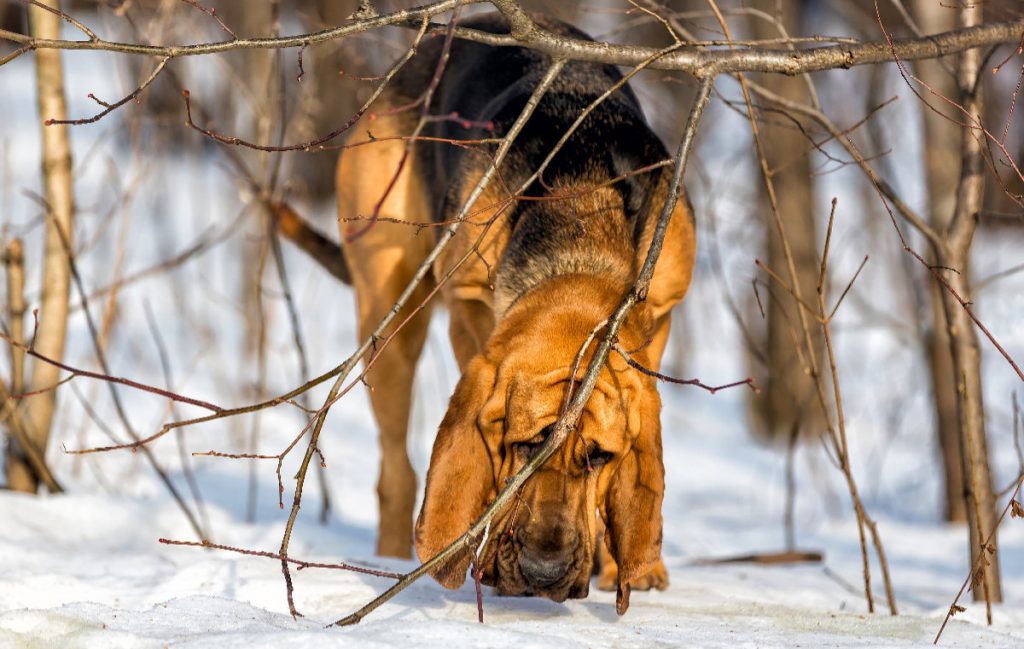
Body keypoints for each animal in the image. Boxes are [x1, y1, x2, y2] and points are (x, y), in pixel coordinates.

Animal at [282, 11, 696, 610]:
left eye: (598, 457)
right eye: (520, 447)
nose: (545, 572)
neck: (580, 230)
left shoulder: (660, 315)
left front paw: (630, 566)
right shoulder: (469, 309)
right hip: (389, 313)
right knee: (396, 472)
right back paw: (392, 558)